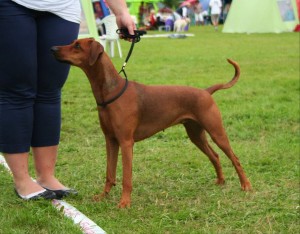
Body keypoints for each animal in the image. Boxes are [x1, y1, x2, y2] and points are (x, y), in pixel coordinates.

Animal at [51, 38, 251, 208]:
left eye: (77, 45)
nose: (53, 48)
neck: (111, 91)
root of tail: (206, 91)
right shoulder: (110, 140)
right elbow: (109, 173)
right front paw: (103, 196)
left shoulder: (126, 142)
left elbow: (126, 178)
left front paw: (124, 203)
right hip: (196, 135)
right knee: (215, 156)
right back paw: (221, 181)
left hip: (217, 132)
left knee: (234, 158)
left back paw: (246, 185)